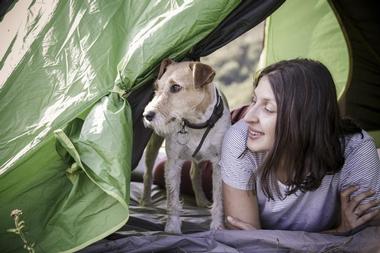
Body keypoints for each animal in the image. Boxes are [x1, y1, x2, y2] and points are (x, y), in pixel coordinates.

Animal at [142, 58, 230, 233]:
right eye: (156, 88)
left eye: (175, 87)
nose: (147, 115)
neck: (196, 123)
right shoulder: (173, 163)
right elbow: (173, 200)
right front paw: (172, 229)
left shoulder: (218, 164)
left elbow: (219, 199)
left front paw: (218, 227)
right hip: (153, 145)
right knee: (148, 173)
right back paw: (145, 202)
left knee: (194, 173)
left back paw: (201, 200)